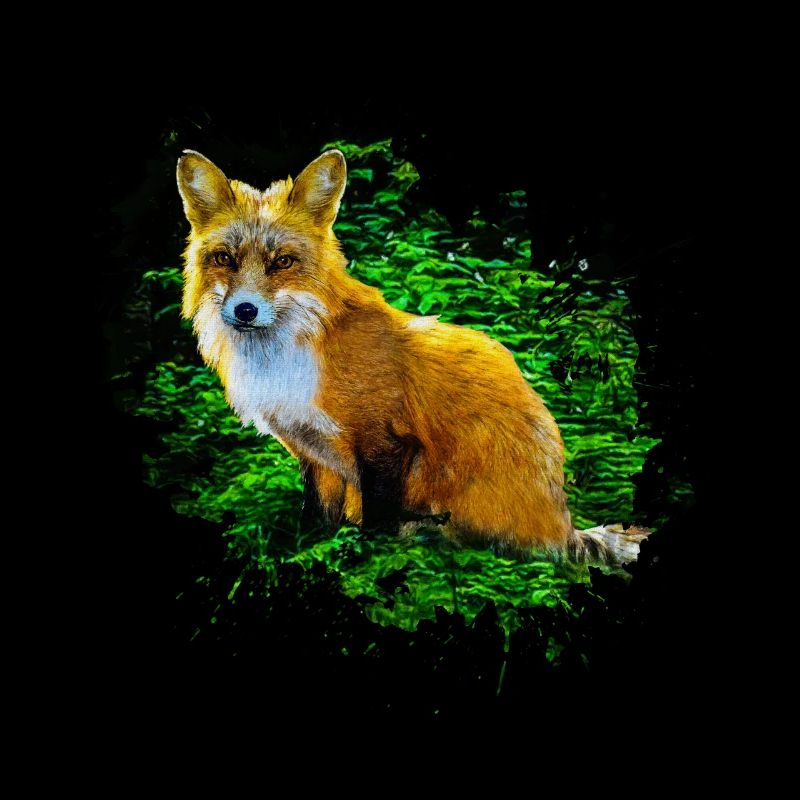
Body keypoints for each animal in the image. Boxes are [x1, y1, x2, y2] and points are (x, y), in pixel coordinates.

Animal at [176, 149, 648, 564]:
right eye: (224, 259)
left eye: (283, 262)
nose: (245, 310)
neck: (293, 355)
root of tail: (563, 525)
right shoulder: (314, 455)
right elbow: (316, 521)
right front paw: (310, 553)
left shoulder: (388, 443)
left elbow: (378, 521)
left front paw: (368, 562)